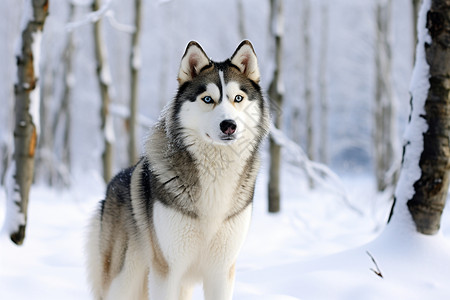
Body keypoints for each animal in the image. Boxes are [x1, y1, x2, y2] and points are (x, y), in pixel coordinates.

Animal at [87, 40, 268, 300]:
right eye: (207, 99)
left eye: (238, 97)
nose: (229, 126)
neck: (215, 176)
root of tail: (111, 185)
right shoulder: (166, 270)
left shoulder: (222, 271)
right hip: (124, 280)